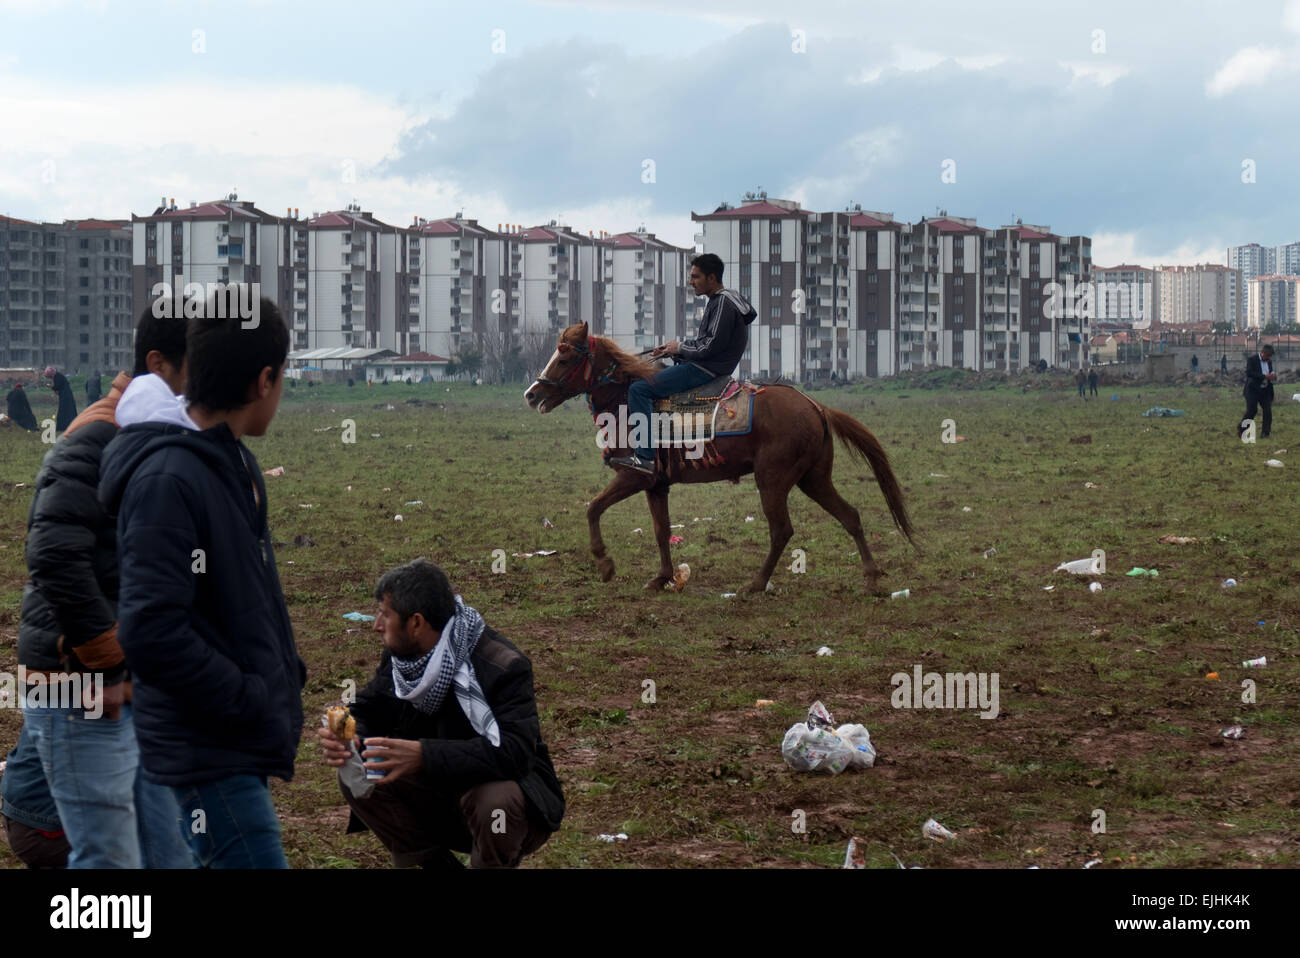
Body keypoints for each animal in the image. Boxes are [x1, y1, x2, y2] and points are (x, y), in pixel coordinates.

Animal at [520, 321, 915, 590]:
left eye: (564, 357)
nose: (531, 394)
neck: (626, 401)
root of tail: (814, 405)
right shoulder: (656, 485)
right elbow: (661, 530)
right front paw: (662, 577)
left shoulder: (633, 475)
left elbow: (593, 508)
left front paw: (604, 563)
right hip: (813, 479)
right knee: (850, 516)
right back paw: (871, 577)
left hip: (773, 481)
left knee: (781, 530)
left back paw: (756, 583)